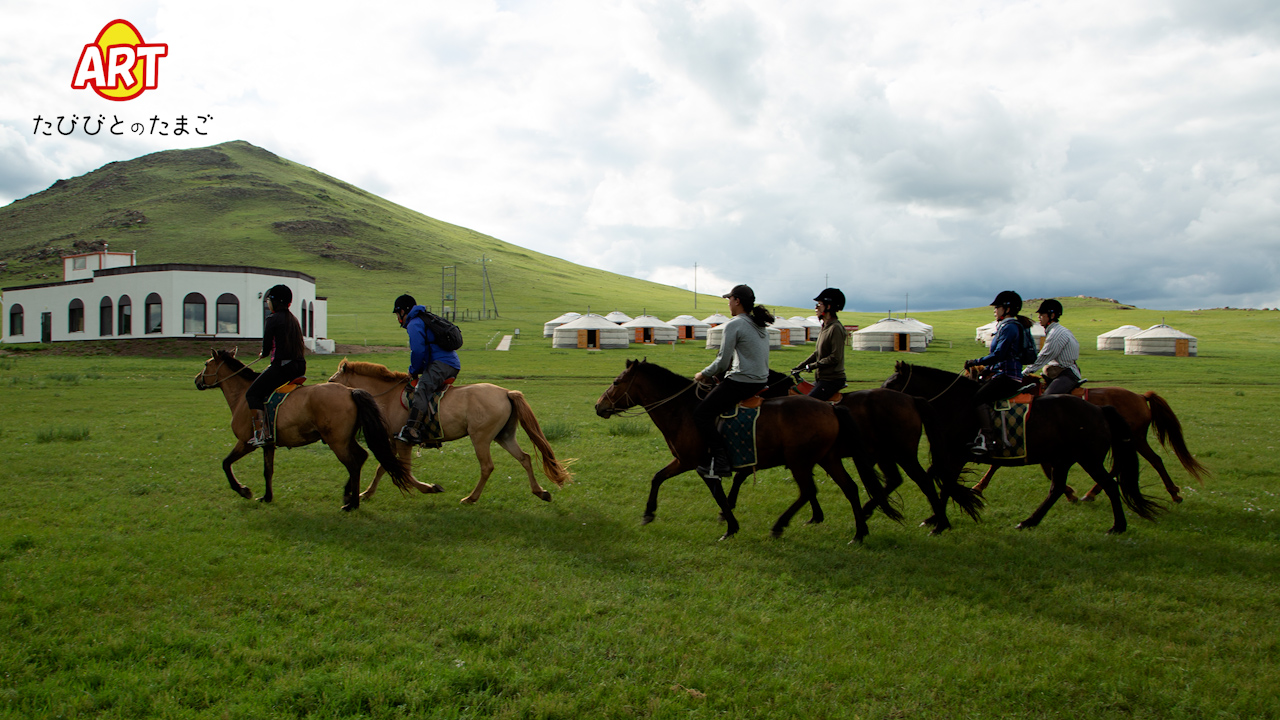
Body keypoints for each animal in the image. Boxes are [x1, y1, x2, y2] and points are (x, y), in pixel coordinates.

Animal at [195, 349, 412, 511]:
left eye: (206, 364)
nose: (197, 380)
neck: (242, 396)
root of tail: (351, 391)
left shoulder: (246, 443)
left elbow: (225, 463)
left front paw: (243, 490)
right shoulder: (269, 445)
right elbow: (267, 471)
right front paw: (267, 496)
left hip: (337, 442)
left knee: (353, 463)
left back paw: (353, 503)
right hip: (345, 439)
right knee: (361, 457)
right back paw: (350, 496)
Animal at [327, 360, 573, 505]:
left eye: (332, 379)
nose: (326, 391)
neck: (388, 396)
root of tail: (506, 392)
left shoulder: (402, 441)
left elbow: (402, 469)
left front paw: (430, 488)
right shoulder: (395, 441)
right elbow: (383, 467)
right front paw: (366, 493)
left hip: (481, 438)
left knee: (487, 467)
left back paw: (471, 498)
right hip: (504, 436)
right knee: (525, 458)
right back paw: (541, 492)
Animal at [594, 359, 876, 542]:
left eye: (617, 382)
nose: (599, 406)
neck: (684, 411)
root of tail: (829, 408)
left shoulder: (695, 463)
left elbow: (714, 493)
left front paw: (730, 527)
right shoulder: (690, 463)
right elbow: (659, 478)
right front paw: (649, 513)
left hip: (800, 461)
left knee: (808, 491)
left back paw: (780, 526)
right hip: (827, 458)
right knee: (850, 488)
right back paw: (859, 533)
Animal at [757, 370, 984, 534]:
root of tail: (911, 399)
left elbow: (809, 488)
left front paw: (813, 516)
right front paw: (816, 516)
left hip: (904, 453)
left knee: (924, 481)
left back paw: (939, 524)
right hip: (885, 454)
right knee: (895, 479)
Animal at [882, 361, 1163, 533]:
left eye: (891, 384)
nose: (879, 395)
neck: (957, 404)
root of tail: (1100, 410)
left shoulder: (957, 456)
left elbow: (947, 483)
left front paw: (938, 521)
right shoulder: (950, 456)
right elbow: (941, 480)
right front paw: (935, 517)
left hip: (1089, 458)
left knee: (1111, 484)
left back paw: (1117, 525)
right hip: (1066, 458)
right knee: (1057, 488)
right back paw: (1030, 521)